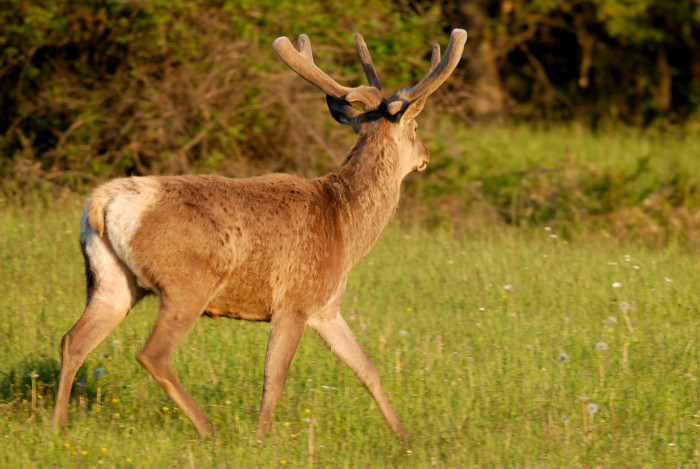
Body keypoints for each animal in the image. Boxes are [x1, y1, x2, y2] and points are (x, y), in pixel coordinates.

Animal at [52, 28, 468, 438]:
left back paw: (58, 425)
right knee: (152, 354)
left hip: (111, 280)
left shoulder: (326, 308)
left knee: (73, 340)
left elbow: (367, 369)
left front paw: (404, 437)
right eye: (416, 127)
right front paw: (260, 440)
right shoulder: (294, 300)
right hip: (186, 284)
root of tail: (101, 204)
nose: (426, 154)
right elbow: (275, 378)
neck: (344, 228)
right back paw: (209, 430)